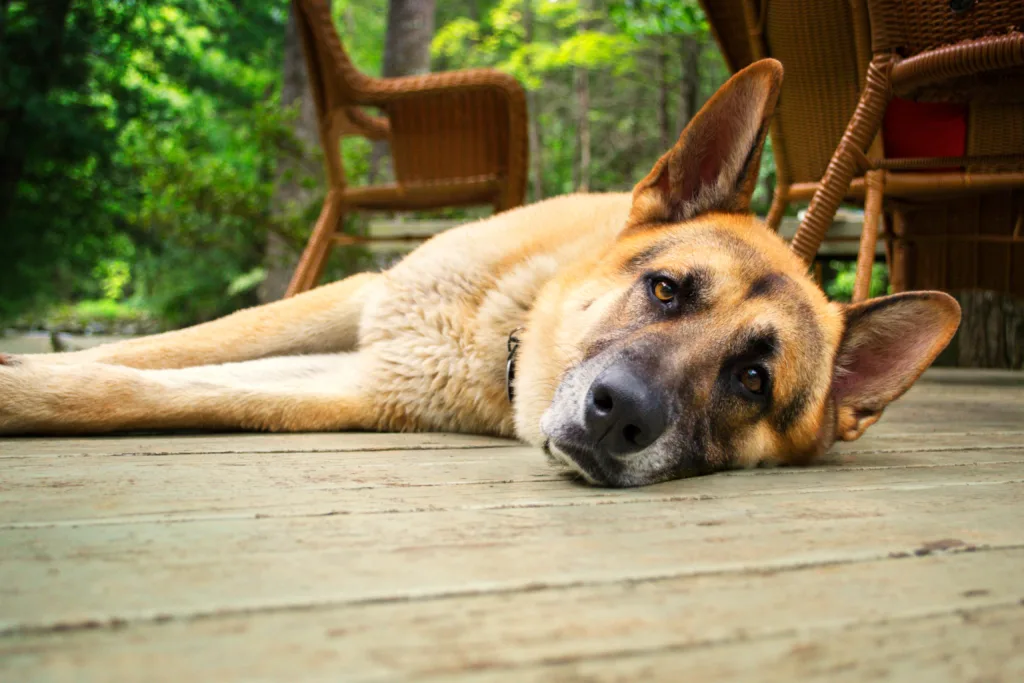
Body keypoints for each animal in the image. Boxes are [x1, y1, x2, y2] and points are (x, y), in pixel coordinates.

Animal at [0, 58, 958, 485]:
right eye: (665, 289)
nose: (620, 416)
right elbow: (161, 348)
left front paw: (27, 389)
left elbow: (132, 390)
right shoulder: (358, 298)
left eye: (753, 379)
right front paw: (32, 361)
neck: (502, 328)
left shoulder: (354, 381)